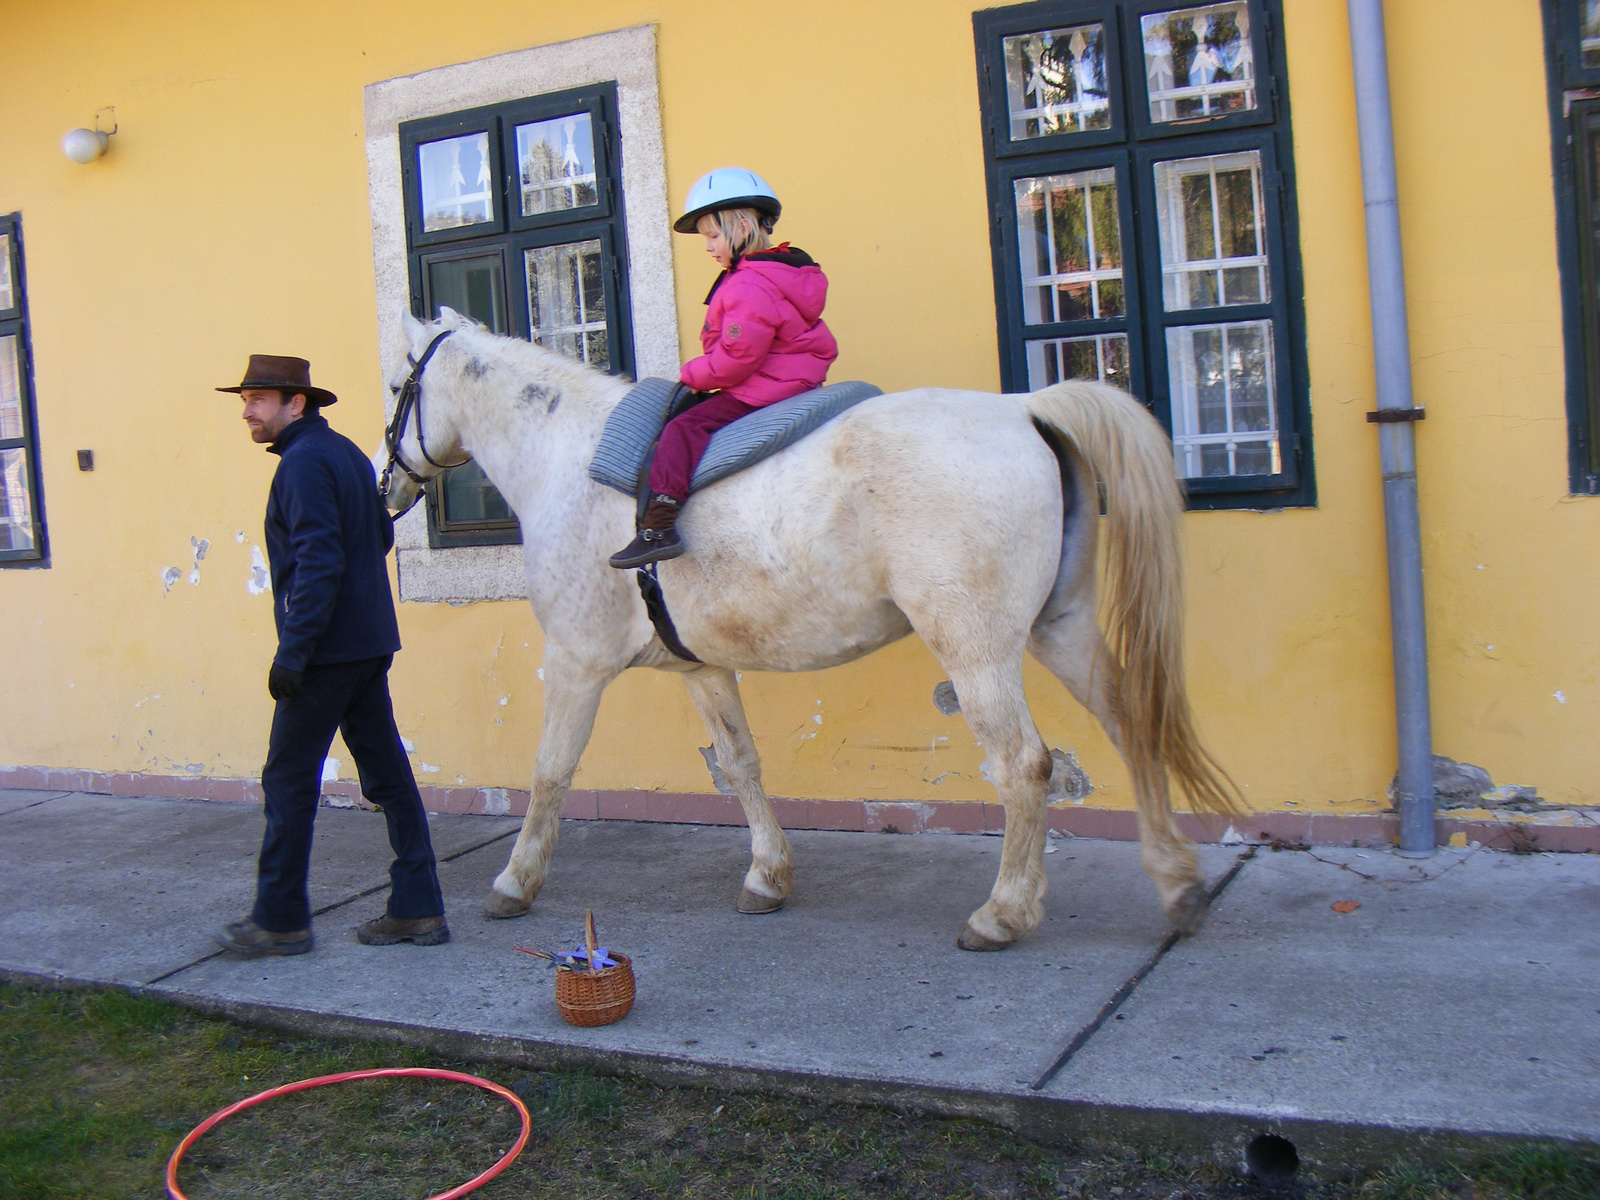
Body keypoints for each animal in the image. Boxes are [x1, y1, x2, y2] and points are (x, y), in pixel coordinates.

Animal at [374, 315, 1235, 953]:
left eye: (394, 386)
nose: (387, 487)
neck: (570, 461)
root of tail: (1025, 406)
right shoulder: (703, 670)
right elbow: (741, 765)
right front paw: (769, 876)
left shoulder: (576, 662)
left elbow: (550, 772)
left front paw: (514, 883)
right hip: (1060, 628)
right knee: (1130, 721)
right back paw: (1177, 883)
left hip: (976, 649)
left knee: (1025, 765)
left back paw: (1003, 913)